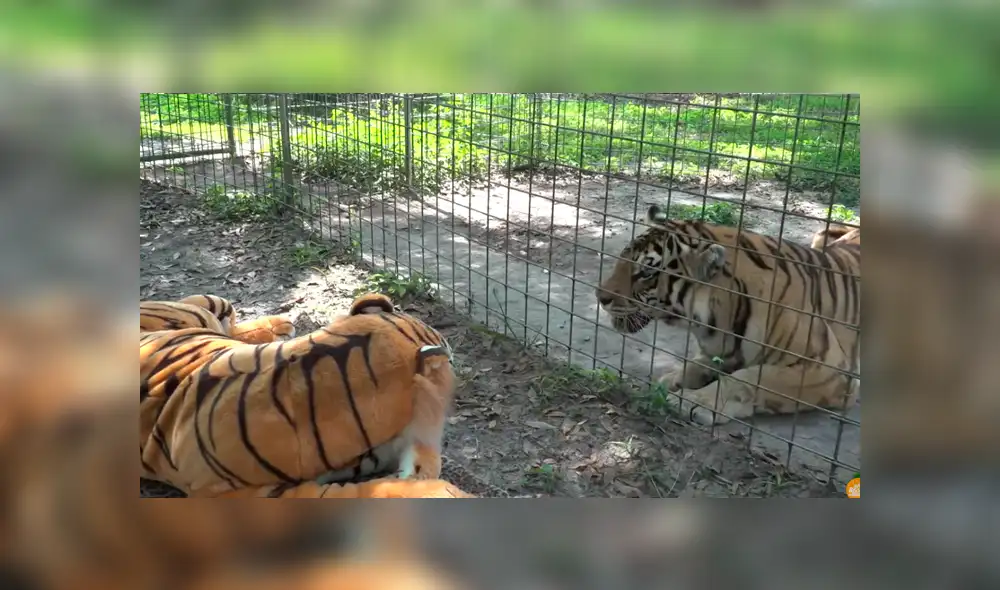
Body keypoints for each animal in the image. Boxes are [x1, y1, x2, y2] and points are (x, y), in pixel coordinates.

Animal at [596, 204, 860, 426]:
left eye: (646, 273)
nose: (600, 296)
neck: (717, 320)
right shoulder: (718, 351)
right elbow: (693, 366)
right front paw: (669, 381)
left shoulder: (829, 368)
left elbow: (747, 378)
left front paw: (695, 401)